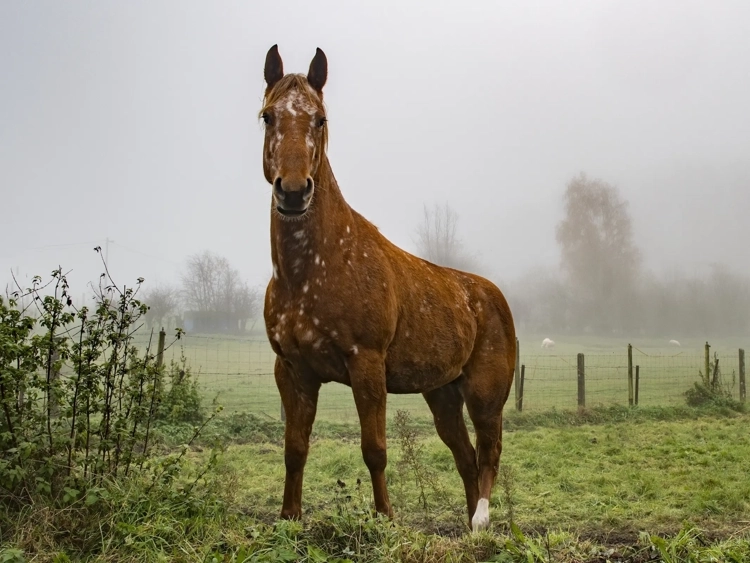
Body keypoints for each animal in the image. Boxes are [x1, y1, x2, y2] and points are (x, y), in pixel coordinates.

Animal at [259, 45, 516, 531]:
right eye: (267, 116)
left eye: (321, 119)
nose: (294, 192)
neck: (311, 273)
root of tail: (494, 297)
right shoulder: (293, 371)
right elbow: (294, 449)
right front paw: (288, 520)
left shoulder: (367, 365)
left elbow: (374, 449)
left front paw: (385, 520)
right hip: (442, 395)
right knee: (466, 459)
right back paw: (467, 528)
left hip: (485, 395)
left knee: (489, 452)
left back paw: (480, 521)